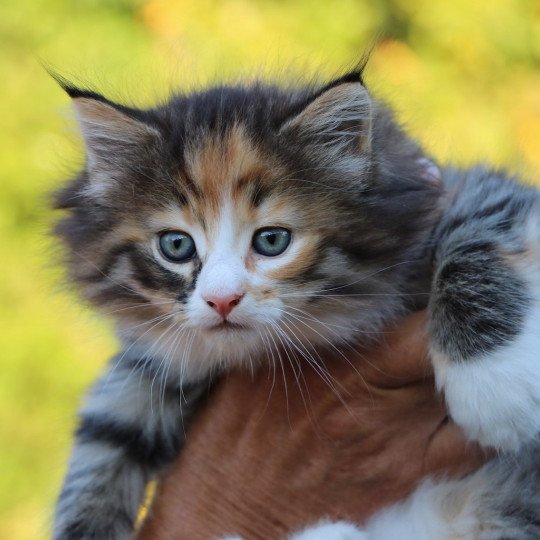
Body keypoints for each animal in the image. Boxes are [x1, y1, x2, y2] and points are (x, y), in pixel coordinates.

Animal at [51, 68, 540, 540]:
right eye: (176, 245)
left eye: (272, 241)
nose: (222, 299)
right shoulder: (161, 356)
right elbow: (107, 428)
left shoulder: (453, 191)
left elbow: (478, 228)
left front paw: (494, 388)